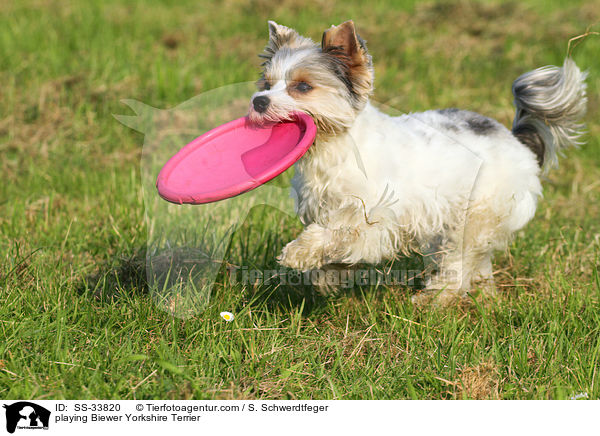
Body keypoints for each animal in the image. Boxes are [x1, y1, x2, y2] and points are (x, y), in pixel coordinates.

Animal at [247, 20, 584, 304]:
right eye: (267, 84)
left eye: (303, 87)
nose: (258, 101)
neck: (332, 147)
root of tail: (516, 141)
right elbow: (334, 246)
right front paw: (327, 276)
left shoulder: (377, 219)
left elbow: (342, 234)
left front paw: (298, 252)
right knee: (477, 260)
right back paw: (484, 295)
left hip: (475, 213)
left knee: (460, 260)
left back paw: (436, 298)